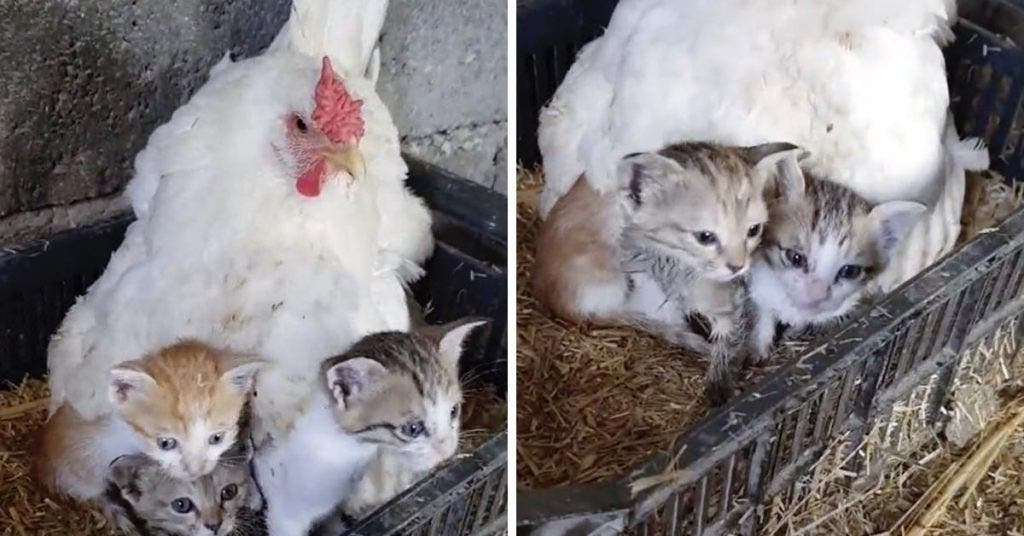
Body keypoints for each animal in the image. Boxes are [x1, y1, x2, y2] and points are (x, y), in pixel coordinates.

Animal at [745, 165, 929, 360]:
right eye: (795, 257)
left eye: (849, 271)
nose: (816, 296)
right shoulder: (758, 284)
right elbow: (762, 316)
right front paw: (758, 350)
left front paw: (794, 331)